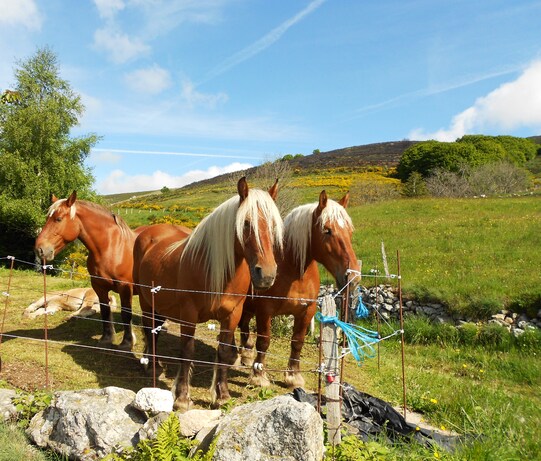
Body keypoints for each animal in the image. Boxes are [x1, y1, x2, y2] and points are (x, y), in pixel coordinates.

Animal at [34, 191, 154, 348]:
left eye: (58, 219)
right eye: (47, 218)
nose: (40, 249)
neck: (111, 247)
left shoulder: (125, 288)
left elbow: (126, 314)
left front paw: (127, 342)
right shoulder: (99, 286)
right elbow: (105, 311)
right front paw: (106, 338)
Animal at [133, 177, 282, 410]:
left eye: (274, 225)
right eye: (246, 223)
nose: (266, 275)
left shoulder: (232, 315)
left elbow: (223, 352)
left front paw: (222, 395)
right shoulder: (188, 314)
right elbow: (187, 352)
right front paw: (182, 398)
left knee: (154, 331)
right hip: (146, 302)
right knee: (150, 331)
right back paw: (151, 364)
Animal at [237, 190, 356, 388]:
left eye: (350, 231)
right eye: (327, 230)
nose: (353, 277)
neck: (294, 272)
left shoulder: (306, 312)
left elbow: (297, 342)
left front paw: (293, 377)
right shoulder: (265, 310)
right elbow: (264, 341)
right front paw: (259, 375)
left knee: (244, 326)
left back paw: (246, 354)